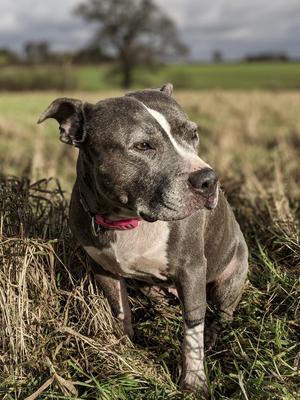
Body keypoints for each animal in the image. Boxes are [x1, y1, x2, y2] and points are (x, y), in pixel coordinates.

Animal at [38, 84, 248, 396]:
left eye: (193, 134)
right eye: (142, 146)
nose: (209, 179)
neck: (128, 220)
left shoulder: (191, 269)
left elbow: (193, 327)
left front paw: (194, 381)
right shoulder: (104, 269)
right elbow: (120, 311)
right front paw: (124, 350)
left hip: (231, 276)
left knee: (223, 313)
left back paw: (212, 334)